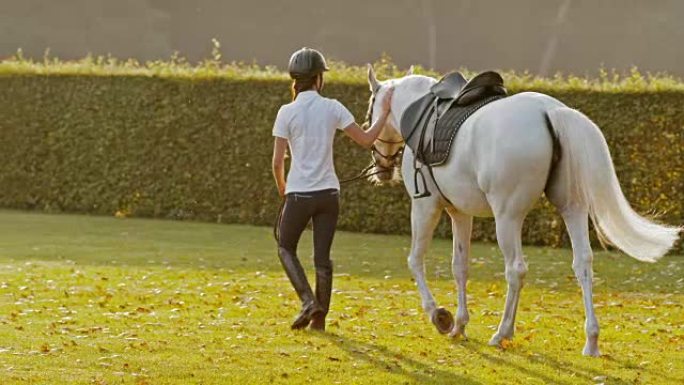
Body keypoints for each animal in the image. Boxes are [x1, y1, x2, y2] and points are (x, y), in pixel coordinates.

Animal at [364, 64, 680, 356]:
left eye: (369, 113)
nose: (381, 169)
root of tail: (550, 111)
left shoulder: (425, 207)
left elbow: (416, 260)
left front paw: (440, 316)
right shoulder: (460, 214)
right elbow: (460, 267)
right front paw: (460, 325)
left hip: (507, 218)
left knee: (516, 270)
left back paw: (503, 332)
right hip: (572, 209)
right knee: (583, 263)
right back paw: (590, 341)